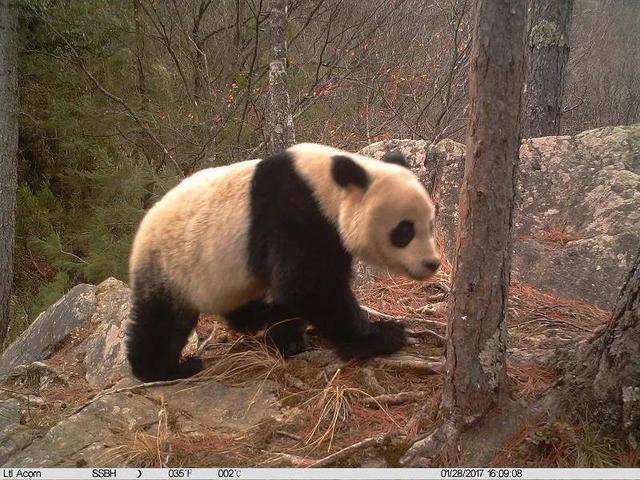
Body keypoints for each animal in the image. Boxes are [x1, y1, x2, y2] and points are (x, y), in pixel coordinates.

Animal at [128, 143, 442, 382]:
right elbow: (308, 285)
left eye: (430, 224)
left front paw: (292, 336)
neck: (327, 185)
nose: (432, 264)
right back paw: (164, 369)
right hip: (171, 264)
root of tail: (141, 229)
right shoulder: (296, 214)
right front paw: (380, 336)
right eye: (404, 231)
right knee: (162, 321)